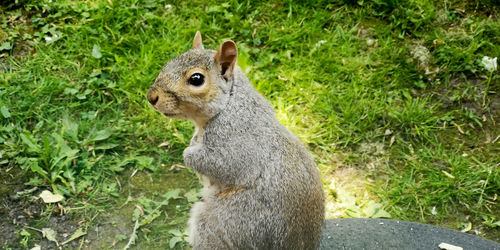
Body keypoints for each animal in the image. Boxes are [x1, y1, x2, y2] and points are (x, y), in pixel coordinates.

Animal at [146, 31, 324, 250]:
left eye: (196, 79)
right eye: (169, 62)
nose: (151, 96)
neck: (229, 103)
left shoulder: (235, 140)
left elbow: (222, 164)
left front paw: (190, 152)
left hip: (231, 222)